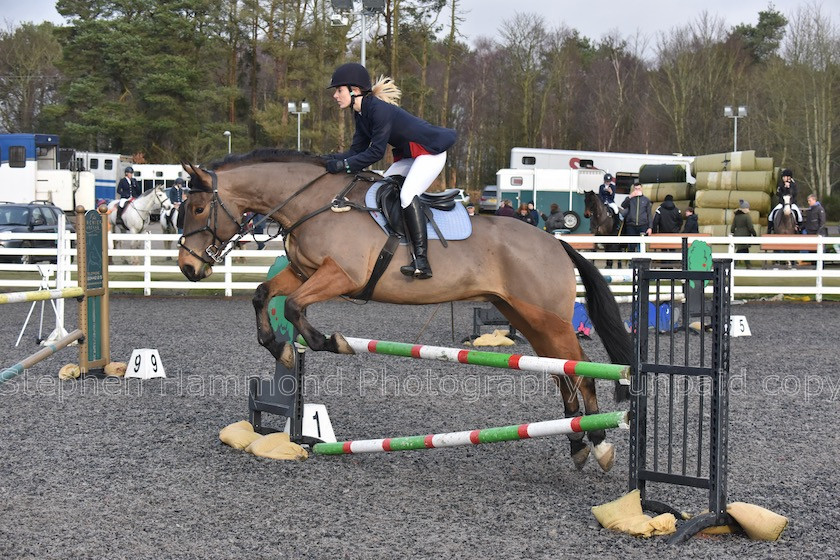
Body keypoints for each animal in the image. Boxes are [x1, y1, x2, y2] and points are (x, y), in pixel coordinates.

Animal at [180, 150, 632, 472]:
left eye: (198, 210)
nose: (188, 268)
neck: (313, 202)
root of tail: (556, 242)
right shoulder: (302, 271)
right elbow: (263, 295)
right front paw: (283, 350)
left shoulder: (340, 275)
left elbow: (292, 306)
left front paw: (327, 342)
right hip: (524, 316)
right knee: (561, 371)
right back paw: (577, 443)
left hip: (545, 317)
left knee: (580, 368)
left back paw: (600, 445)